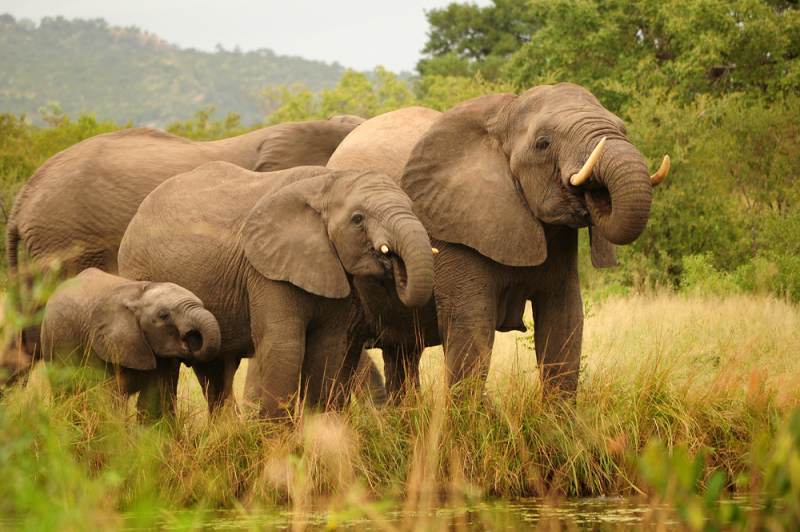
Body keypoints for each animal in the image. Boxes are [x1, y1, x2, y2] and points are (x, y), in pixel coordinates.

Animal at [37, 268, 220, 416]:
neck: (139, 294)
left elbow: (154, 398)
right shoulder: (101, 348)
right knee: (65, 390)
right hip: (52, 343)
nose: (193, 339)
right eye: (163, 315)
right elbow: (107, 397)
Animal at [117, 163, 434, 418]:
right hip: (141, 276)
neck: (326, 183)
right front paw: (276, 441)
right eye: (358, 219)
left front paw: (319, 432)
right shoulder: (265, 270)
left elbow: (329, 347)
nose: (393, 261)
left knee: (216, 370)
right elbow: (284, 345)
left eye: (413, 208)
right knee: (164, 369)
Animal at [327, 82, 669, 397]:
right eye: (543, 143)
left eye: (622, 129)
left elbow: (564, 321)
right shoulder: (457, 229)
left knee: (402, 352)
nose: (592, 191)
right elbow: (471, 331)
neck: (502, 117)